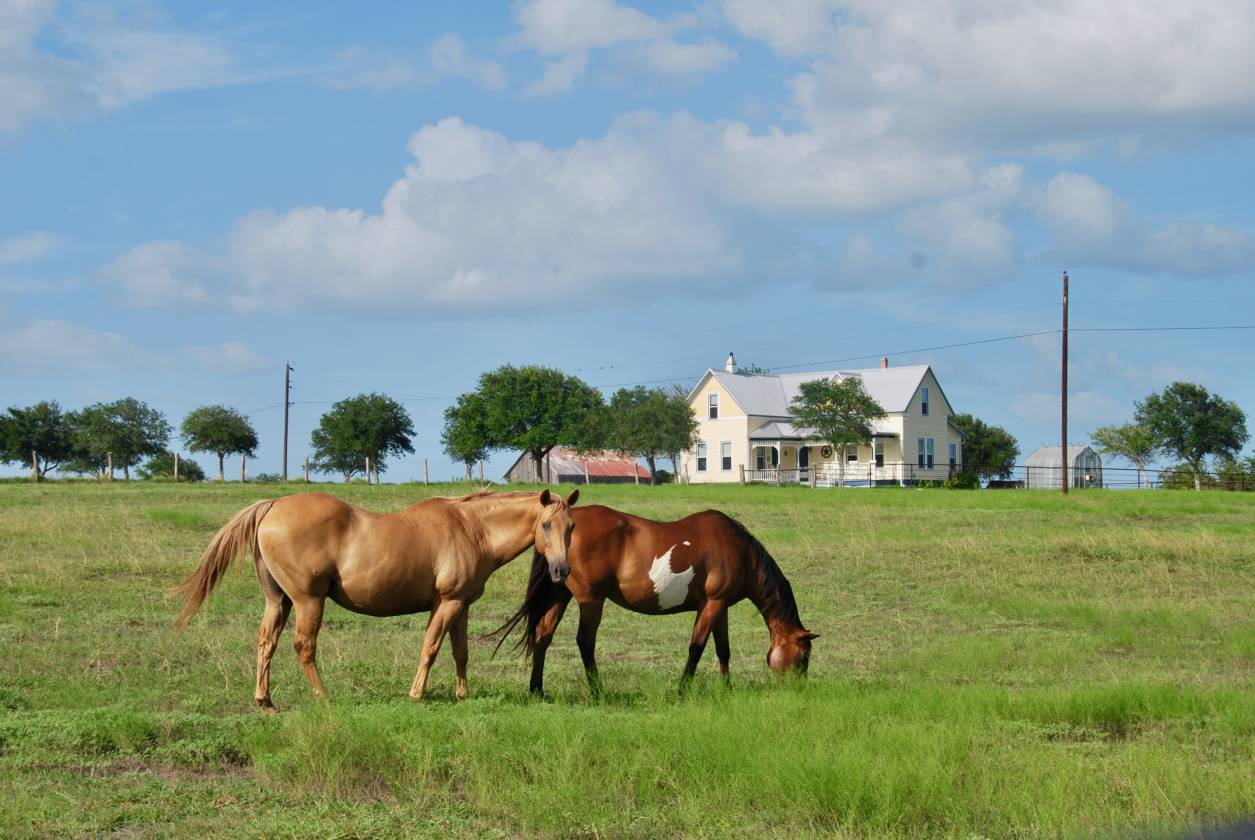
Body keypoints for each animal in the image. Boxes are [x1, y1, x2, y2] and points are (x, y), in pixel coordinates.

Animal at [175, 484, 577, 708]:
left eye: (571, 526)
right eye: (545, 525)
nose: (561, 571)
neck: (472, 528)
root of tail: (272, 507)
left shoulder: (459, 605)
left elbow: (459, 652)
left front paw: (463, 695)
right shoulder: (446, 602)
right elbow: (431, 647)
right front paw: (416, 694)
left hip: (279, 601)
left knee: (266, 642)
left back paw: (265, 700)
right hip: (307, 601)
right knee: (303, 646)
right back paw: (324, 697)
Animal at [494, 504, 818, 693]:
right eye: (804, 657)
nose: (798, 689)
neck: (740, 550)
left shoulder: (719, 605)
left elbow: (722, 650)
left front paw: (727, 689)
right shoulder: (712, 604)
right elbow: (696, 647)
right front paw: (682, 689)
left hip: (559, 594)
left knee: (543, 636)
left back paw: (536, 689)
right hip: (591, 600)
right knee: (585, 642)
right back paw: (598, 691)